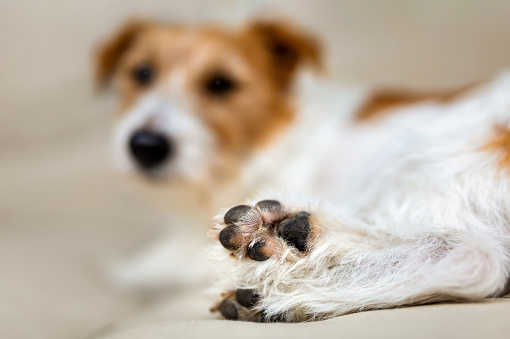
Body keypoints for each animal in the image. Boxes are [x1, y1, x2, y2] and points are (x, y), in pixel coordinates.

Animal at [94, 19, 510, 324]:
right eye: (142, 73)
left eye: (221, 84)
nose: (146, 146)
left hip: (418, 165)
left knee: (474, 253)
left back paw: (285, 261)